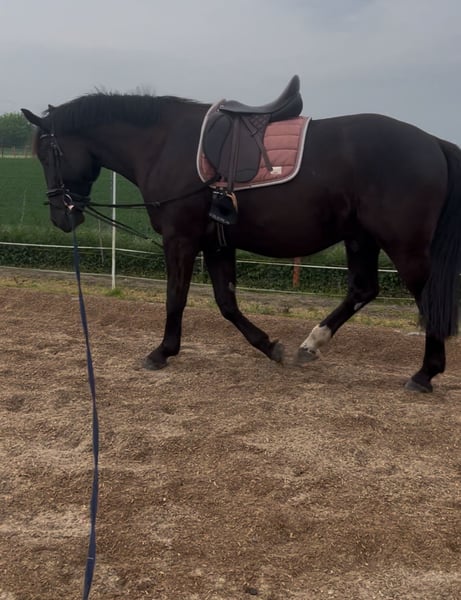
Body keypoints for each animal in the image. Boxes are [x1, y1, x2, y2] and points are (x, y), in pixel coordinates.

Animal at [21, 78, 461, 392]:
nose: (61, 217)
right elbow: (226, 303)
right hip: (361, 237)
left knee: (425, 296)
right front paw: (269, 345)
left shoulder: (181, 239)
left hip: (403, 245)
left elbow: (176, 297)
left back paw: (425, 374)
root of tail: (432, 142)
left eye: (47, 155)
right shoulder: (218, 243)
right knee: (364, 288)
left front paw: (162, 352)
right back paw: (311, 344)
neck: (163, 143)